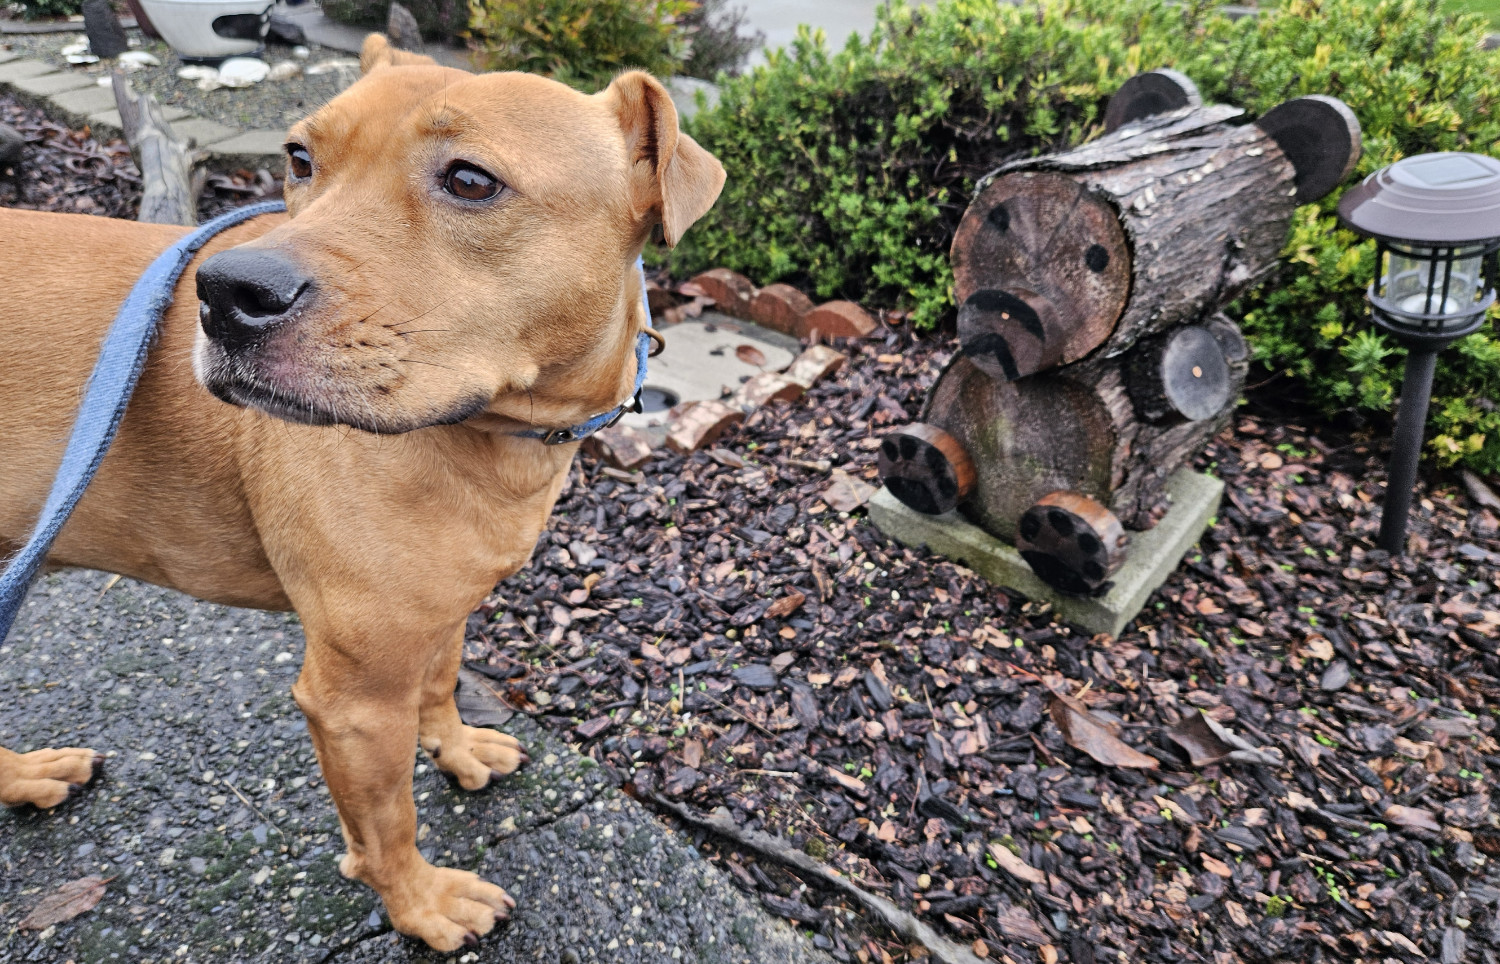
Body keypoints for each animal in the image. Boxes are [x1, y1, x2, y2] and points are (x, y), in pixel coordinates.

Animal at [0, 37, 726, 947]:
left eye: (471, 181)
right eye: (300, 158)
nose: (226, 293)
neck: (490, 439)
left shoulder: (441, 612)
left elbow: (441, 684)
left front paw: (458, 751)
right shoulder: (354, 701)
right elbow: (387, 822)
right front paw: (421, 905)